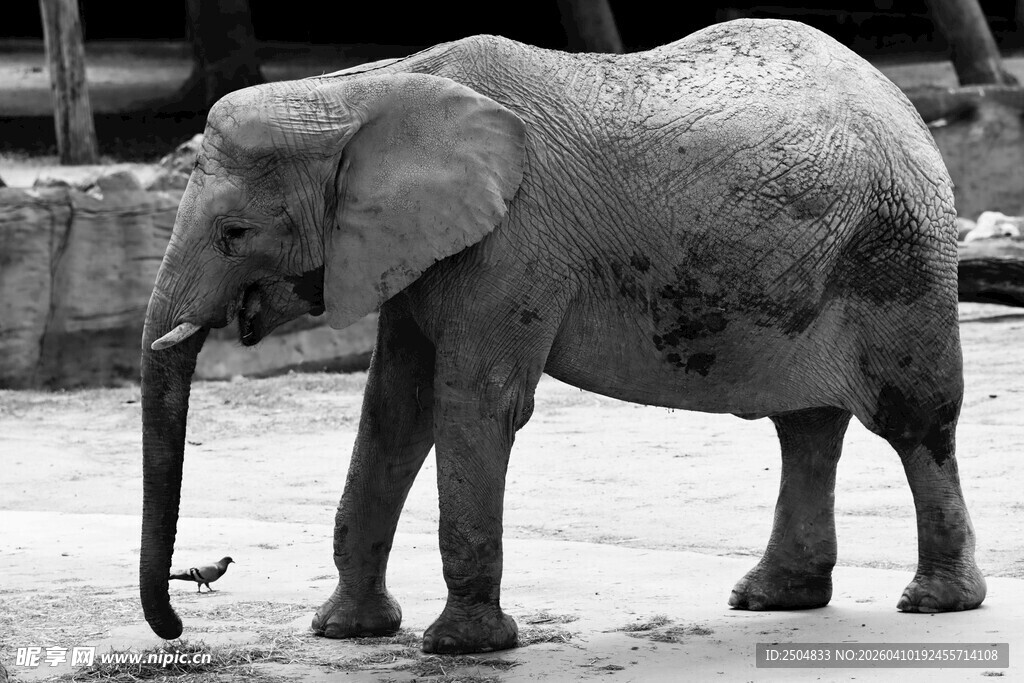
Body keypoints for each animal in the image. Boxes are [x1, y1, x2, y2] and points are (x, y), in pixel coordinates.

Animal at [139, 18, 987, 654]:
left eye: (234, 232)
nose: (177, 624)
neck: (362, 89)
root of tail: (907, 103)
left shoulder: (514, 244)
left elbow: (473, 403)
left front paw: (463, 647)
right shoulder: (415, 250)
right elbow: (393, 409)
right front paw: (345, 632)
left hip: (899, 252)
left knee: (914, 420)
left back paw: (935, 601)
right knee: (807, 425)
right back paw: (775, 598)